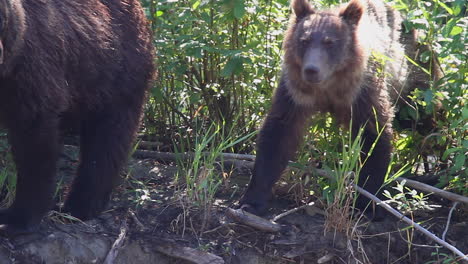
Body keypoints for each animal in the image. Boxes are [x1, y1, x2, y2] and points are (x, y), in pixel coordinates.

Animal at [0, 0, 154, 233]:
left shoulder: (28, 75)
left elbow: (33, 144)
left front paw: (19, 217)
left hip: (114, 74)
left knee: (106, 142)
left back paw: (79, 206)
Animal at [239, 0, 412, 217]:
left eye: (330, 42)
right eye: (304, 40)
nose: (311, 69)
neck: (328, 86)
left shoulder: (363, 92)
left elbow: (374, 135)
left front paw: (368, 201)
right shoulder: (294, 92)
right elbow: (277, 135)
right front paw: (252, 200)